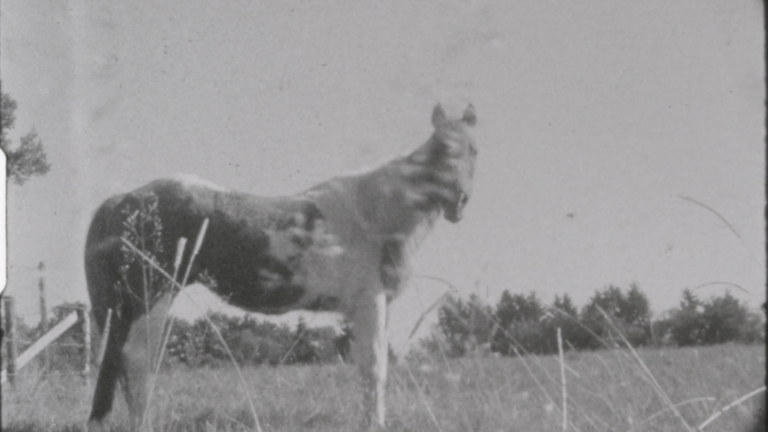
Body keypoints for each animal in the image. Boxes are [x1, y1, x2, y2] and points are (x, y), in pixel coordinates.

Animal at [84, 103, 478, 430]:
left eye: (473, 150)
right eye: (441, 149)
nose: (459, 203)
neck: (374, 215)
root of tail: (125, 200)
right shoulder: (370, 303)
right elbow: (374, 369)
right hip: (151, 297)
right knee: (136, 362)